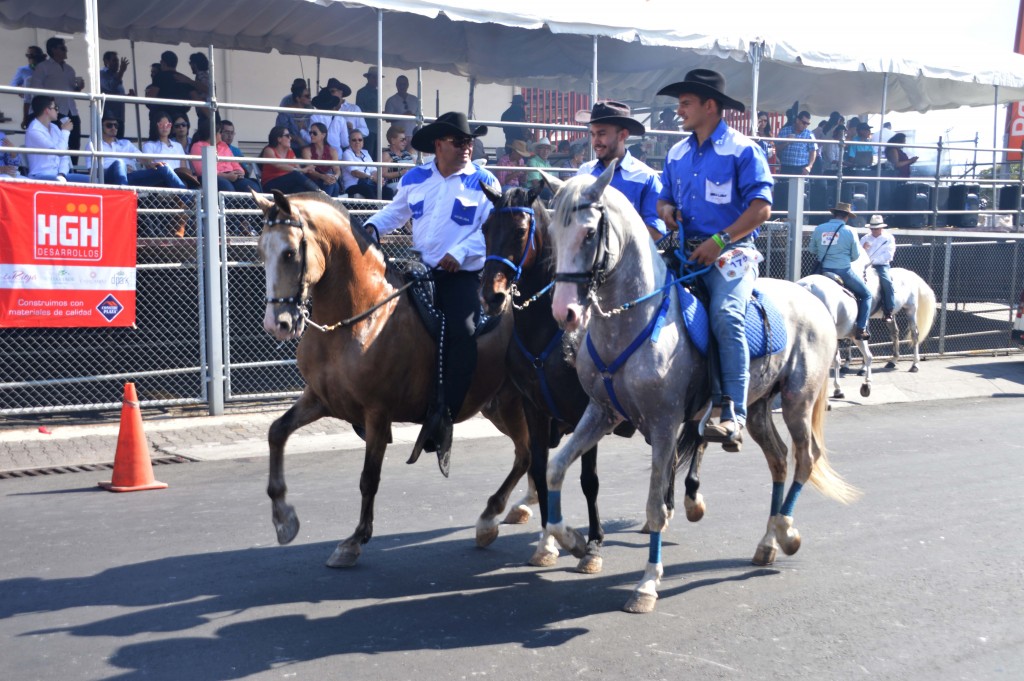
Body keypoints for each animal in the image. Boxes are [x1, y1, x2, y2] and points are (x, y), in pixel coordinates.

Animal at [252, 188, 532, 565]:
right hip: (499, 406)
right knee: (527, 453)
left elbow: (369, 478)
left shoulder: (376, 414)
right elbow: (276, 432)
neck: (361, 318)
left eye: (290, 252)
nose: (276, 324)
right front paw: (283, 518)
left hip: (515, 404)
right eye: (259, 250)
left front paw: (354, 540)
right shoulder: (321, 399)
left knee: (527, 454)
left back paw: (494, 517)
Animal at [540, 161, 860, 614]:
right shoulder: (601, 413)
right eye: (552, 233)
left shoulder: (664, 423)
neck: (637, 320)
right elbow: (555, 468)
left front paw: (646, 584)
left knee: (806, 457)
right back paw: (767, 543)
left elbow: (655, 505)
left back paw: (786, 531)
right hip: (756, 408)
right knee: (779, 460)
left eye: (588, 234)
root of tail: (813, 295)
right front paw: (571, 539)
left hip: (799, 400)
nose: (563, 311)